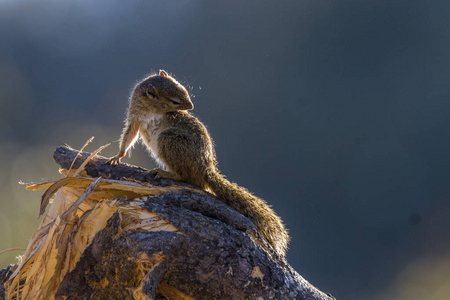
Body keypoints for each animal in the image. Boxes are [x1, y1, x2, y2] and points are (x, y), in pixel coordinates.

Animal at [110, 69, 292, 255]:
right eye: (174, 101)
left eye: (184, 90)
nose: (191, 107)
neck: (149, 107)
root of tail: (205, 169)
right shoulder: (135, 119)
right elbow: (129, 137)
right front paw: (118, 156)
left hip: (168, 139)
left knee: (183, 175)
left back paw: (165, 173)